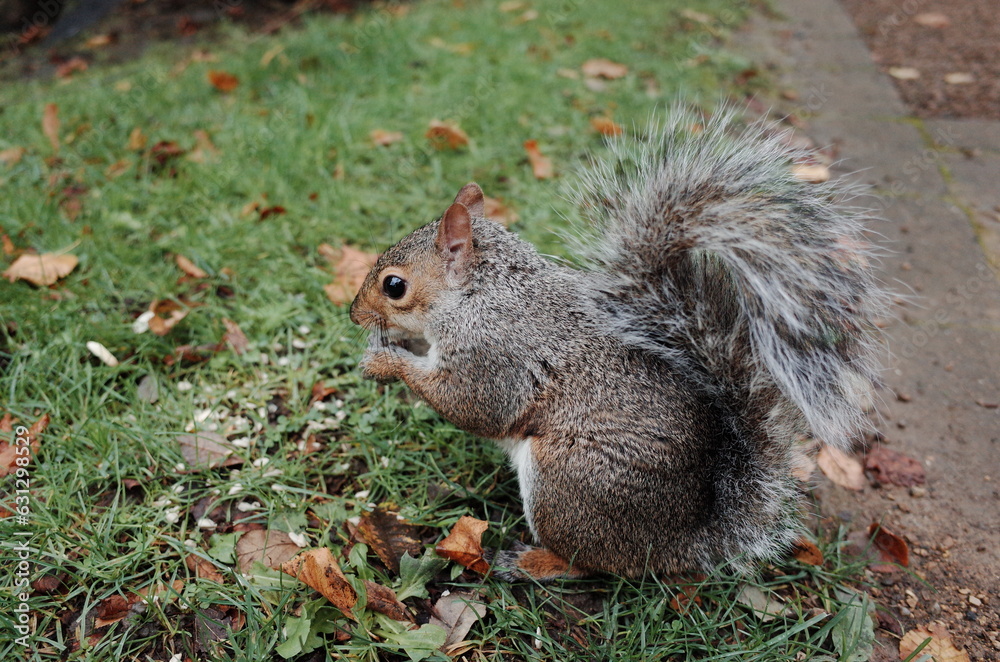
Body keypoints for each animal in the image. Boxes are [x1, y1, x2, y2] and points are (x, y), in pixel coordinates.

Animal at [349, 108, 885, 580]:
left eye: (394, 286)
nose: (352, 314)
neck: (480, 295)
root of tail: (681, 542)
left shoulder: (494, 357)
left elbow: (475, 407)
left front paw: (385, 363)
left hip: (567, 483)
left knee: (592, 565)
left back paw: (533, 563)